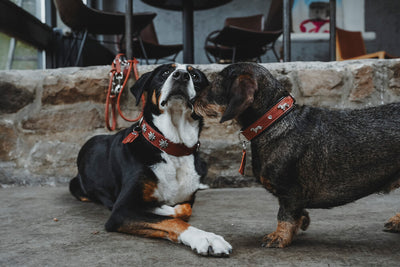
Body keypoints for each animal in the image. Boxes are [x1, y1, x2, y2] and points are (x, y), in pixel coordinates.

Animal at [69, 64, 231, 258]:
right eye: (165, 72)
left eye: (195, 76)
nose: (181, 75)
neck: (173, 148)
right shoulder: (121, 211)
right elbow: (174, 220)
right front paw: (206, 238)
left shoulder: (188, 198)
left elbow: (185, 209)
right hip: (76, 185)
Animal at [196, 62, 400, 249]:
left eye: (216, 83)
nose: (193, 100)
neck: (274, 121)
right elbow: (297, 214)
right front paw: (301, 222)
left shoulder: (289, 191)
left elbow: (284, 216)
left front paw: (278, 237)